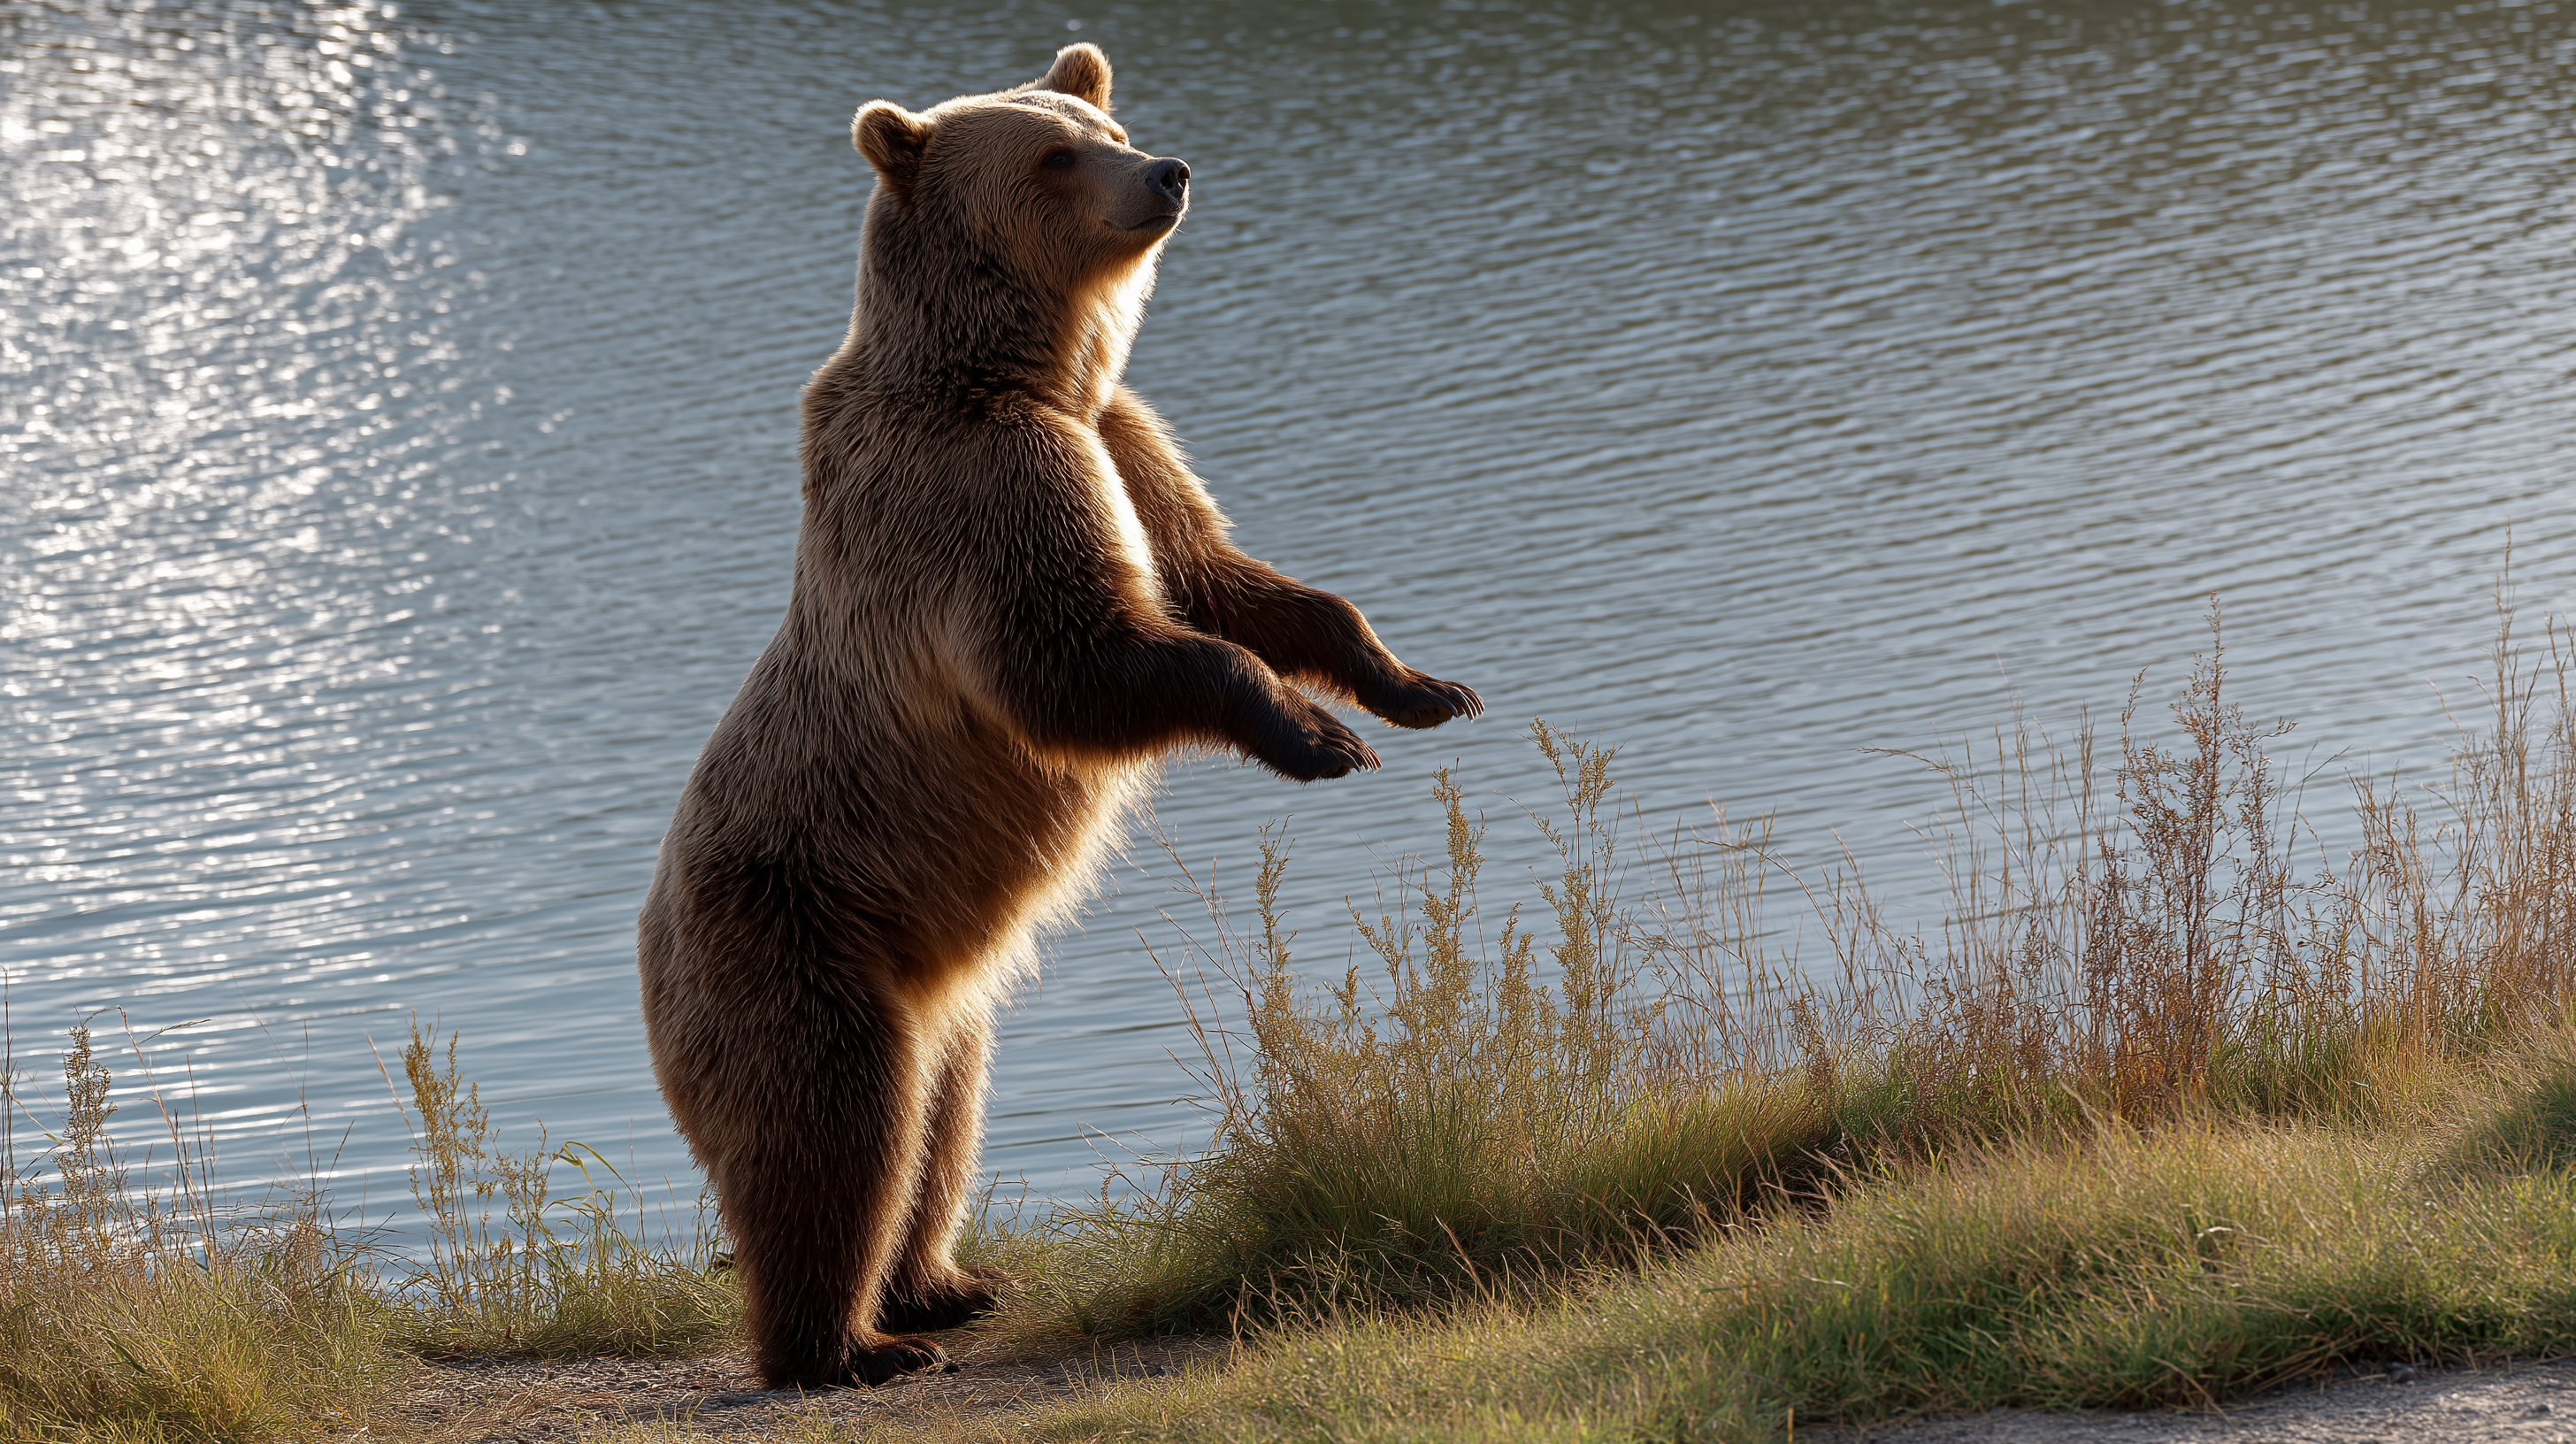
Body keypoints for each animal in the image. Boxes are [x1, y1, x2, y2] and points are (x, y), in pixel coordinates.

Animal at [634, 42, 1482, 1390]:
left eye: (1106, 125)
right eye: (1052, 155)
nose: (1167, 170)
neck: (1029, 374)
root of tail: (645, 961)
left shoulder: (1124, 441)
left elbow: (1227, 581)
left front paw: (1418, 688)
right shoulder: (983, 491)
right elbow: (1075, 661)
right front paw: (1314, 737)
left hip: (940, 1004)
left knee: (941, 1126)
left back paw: (942, 1284)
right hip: (790, 942)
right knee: (832, 1133)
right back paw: (849, 1346)